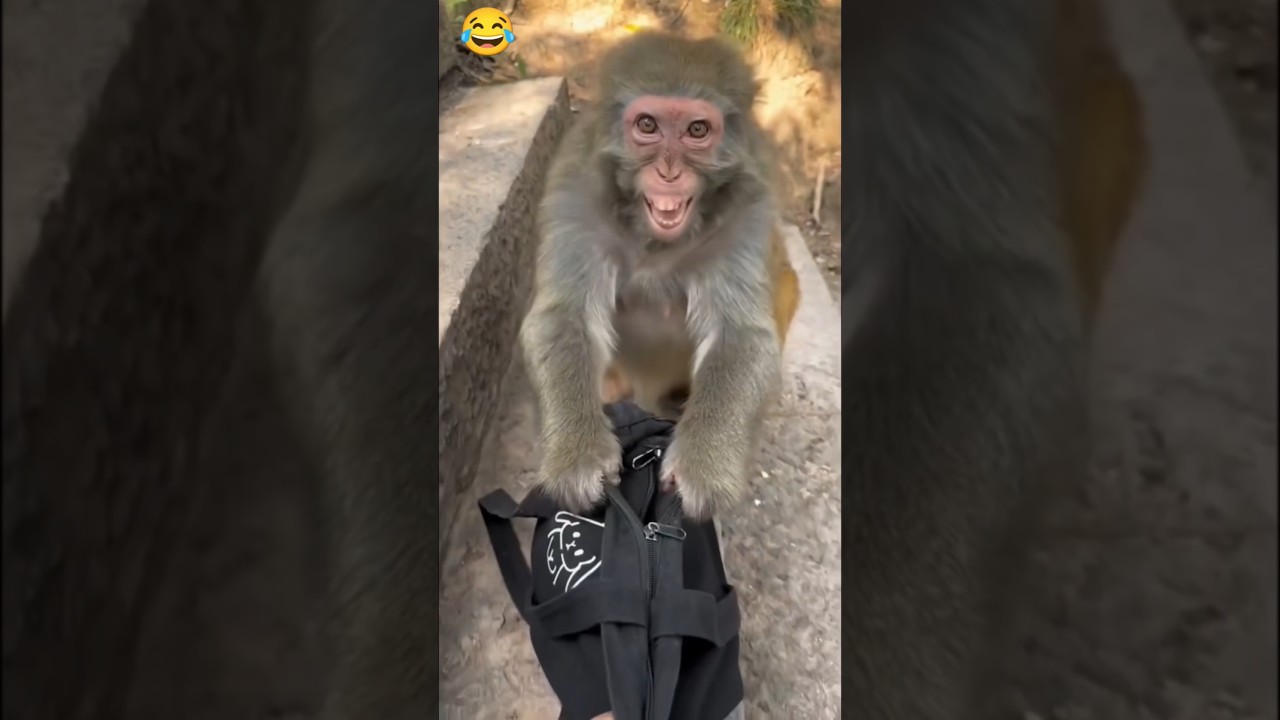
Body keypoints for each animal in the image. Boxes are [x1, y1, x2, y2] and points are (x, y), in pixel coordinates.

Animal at [519, 32, 799, 521]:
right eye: (647, 126)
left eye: (697, 131)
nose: (669, 171)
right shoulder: (575, 194)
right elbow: (562, 317)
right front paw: (578, 455)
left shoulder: (751, 210)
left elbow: (741, 334)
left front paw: (703, 467)